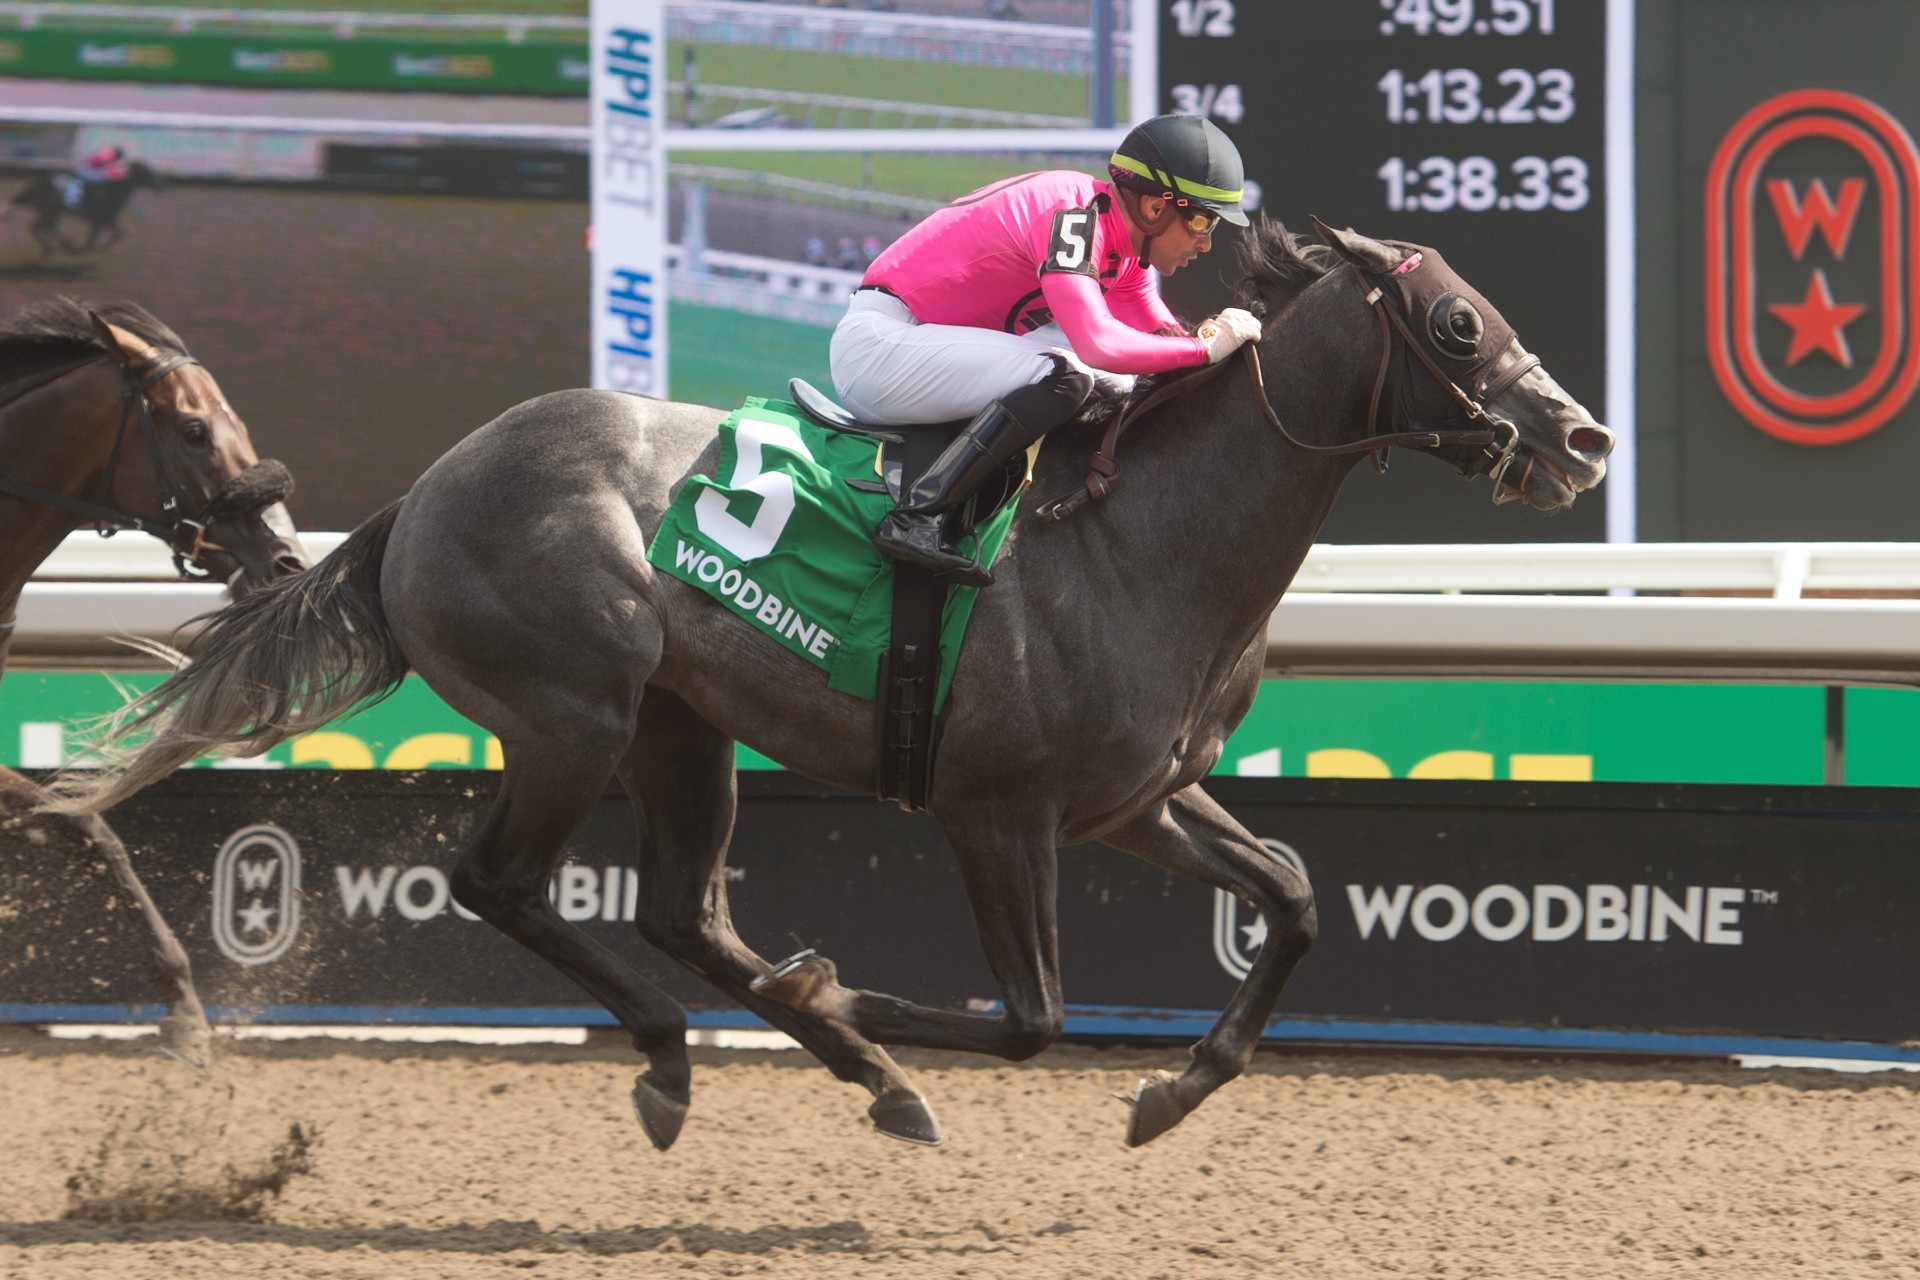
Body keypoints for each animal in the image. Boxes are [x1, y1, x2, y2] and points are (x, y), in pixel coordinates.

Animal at [48, 222, 1605, 1151]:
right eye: (1460, 326)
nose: (1582, 438)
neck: (1139, 536)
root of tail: (424, 491)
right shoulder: (996, 811)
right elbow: (1034, 1015)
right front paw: (855, 995)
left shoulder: (1137, 802)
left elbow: (1292, 894)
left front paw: (1168, 1090)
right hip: (575, 711)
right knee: (505, 883)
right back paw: (735, 1051)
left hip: (679, 732)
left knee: (680, 910)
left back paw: (809, 1065)